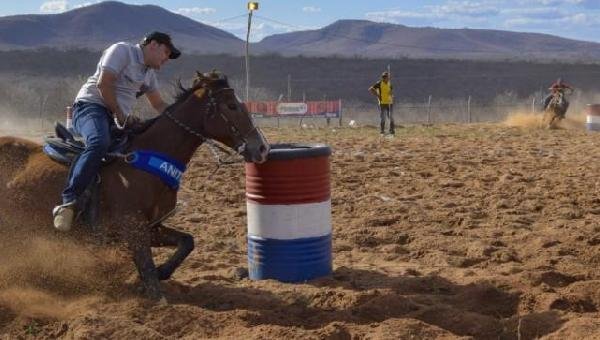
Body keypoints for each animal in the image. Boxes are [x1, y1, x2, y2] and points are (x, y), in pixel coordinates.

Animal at [0, 70, 270, 302]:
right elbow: (148, 268)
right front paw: (157, 297)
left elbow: (186, 242)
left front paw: (162, 273)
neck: (148, 158)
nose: (262, 147)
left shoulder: (151, 227)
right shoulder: (132, 226)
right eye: (232, 106)